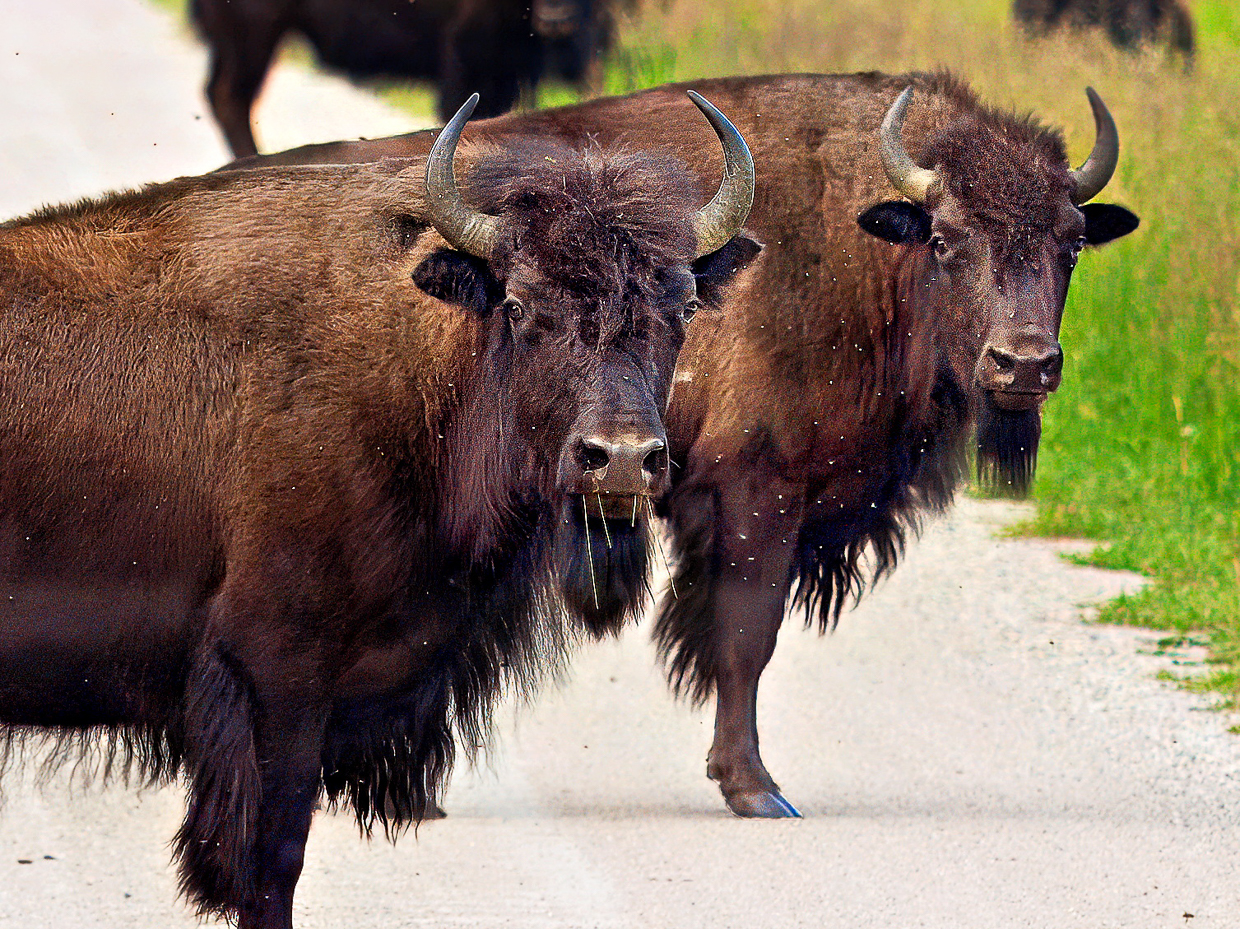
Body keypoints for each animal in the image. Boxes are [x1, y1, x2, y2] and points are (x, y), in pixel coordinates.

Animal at [0, 93, 757, 927]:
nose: (620, 457)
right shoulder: (280, 672)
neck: (422, 366)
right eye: (518, 302)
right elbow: (274, 858)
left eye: (684, 302)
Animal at [239, 71, 1141, 819]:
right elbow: (745, 638)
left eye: (1071, 243)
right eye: (948, 239)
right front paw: (756, 788)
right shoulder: (758, 498)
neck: (860, 242)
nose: (1024, 363)